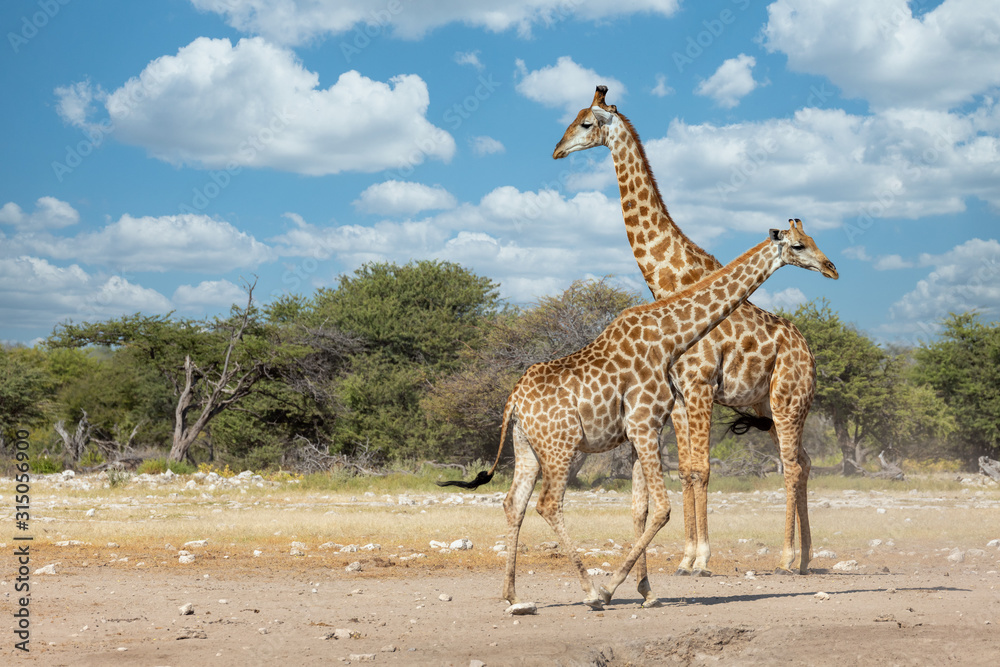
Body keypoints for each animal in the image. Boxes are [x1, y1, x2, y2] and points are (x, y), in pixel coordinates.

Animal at [439, 221, 838, 610]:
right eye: (799, 245)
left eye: (812, 237)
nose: (831, 268)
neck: (668, 341)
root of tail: (513, 402)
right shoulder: (645, 424)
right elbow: (661, 509)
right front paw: (613, 588)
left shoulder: (639, 433)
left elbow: (640, 509)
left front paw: (646, 590)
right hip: (560, 447)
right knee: (548, 504)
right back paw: (590, 592)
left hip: (526, 448)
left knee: (514, 503)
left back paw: (513, 595)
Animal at [552, 86, 829, 589]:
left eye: (585, 123)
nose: (557, 150)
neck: (670, 280)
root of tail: (810, 354)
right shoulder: (680, 395)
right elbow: (687, 471)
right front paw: (685, 557)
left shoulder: (699, 386)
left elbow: (700, 469)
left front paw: (701, 559)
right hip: (775, 405)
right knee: (805, 463)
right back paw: (805, 556)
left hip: (788, 400)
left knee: (793, 465)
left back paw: (786, 557)